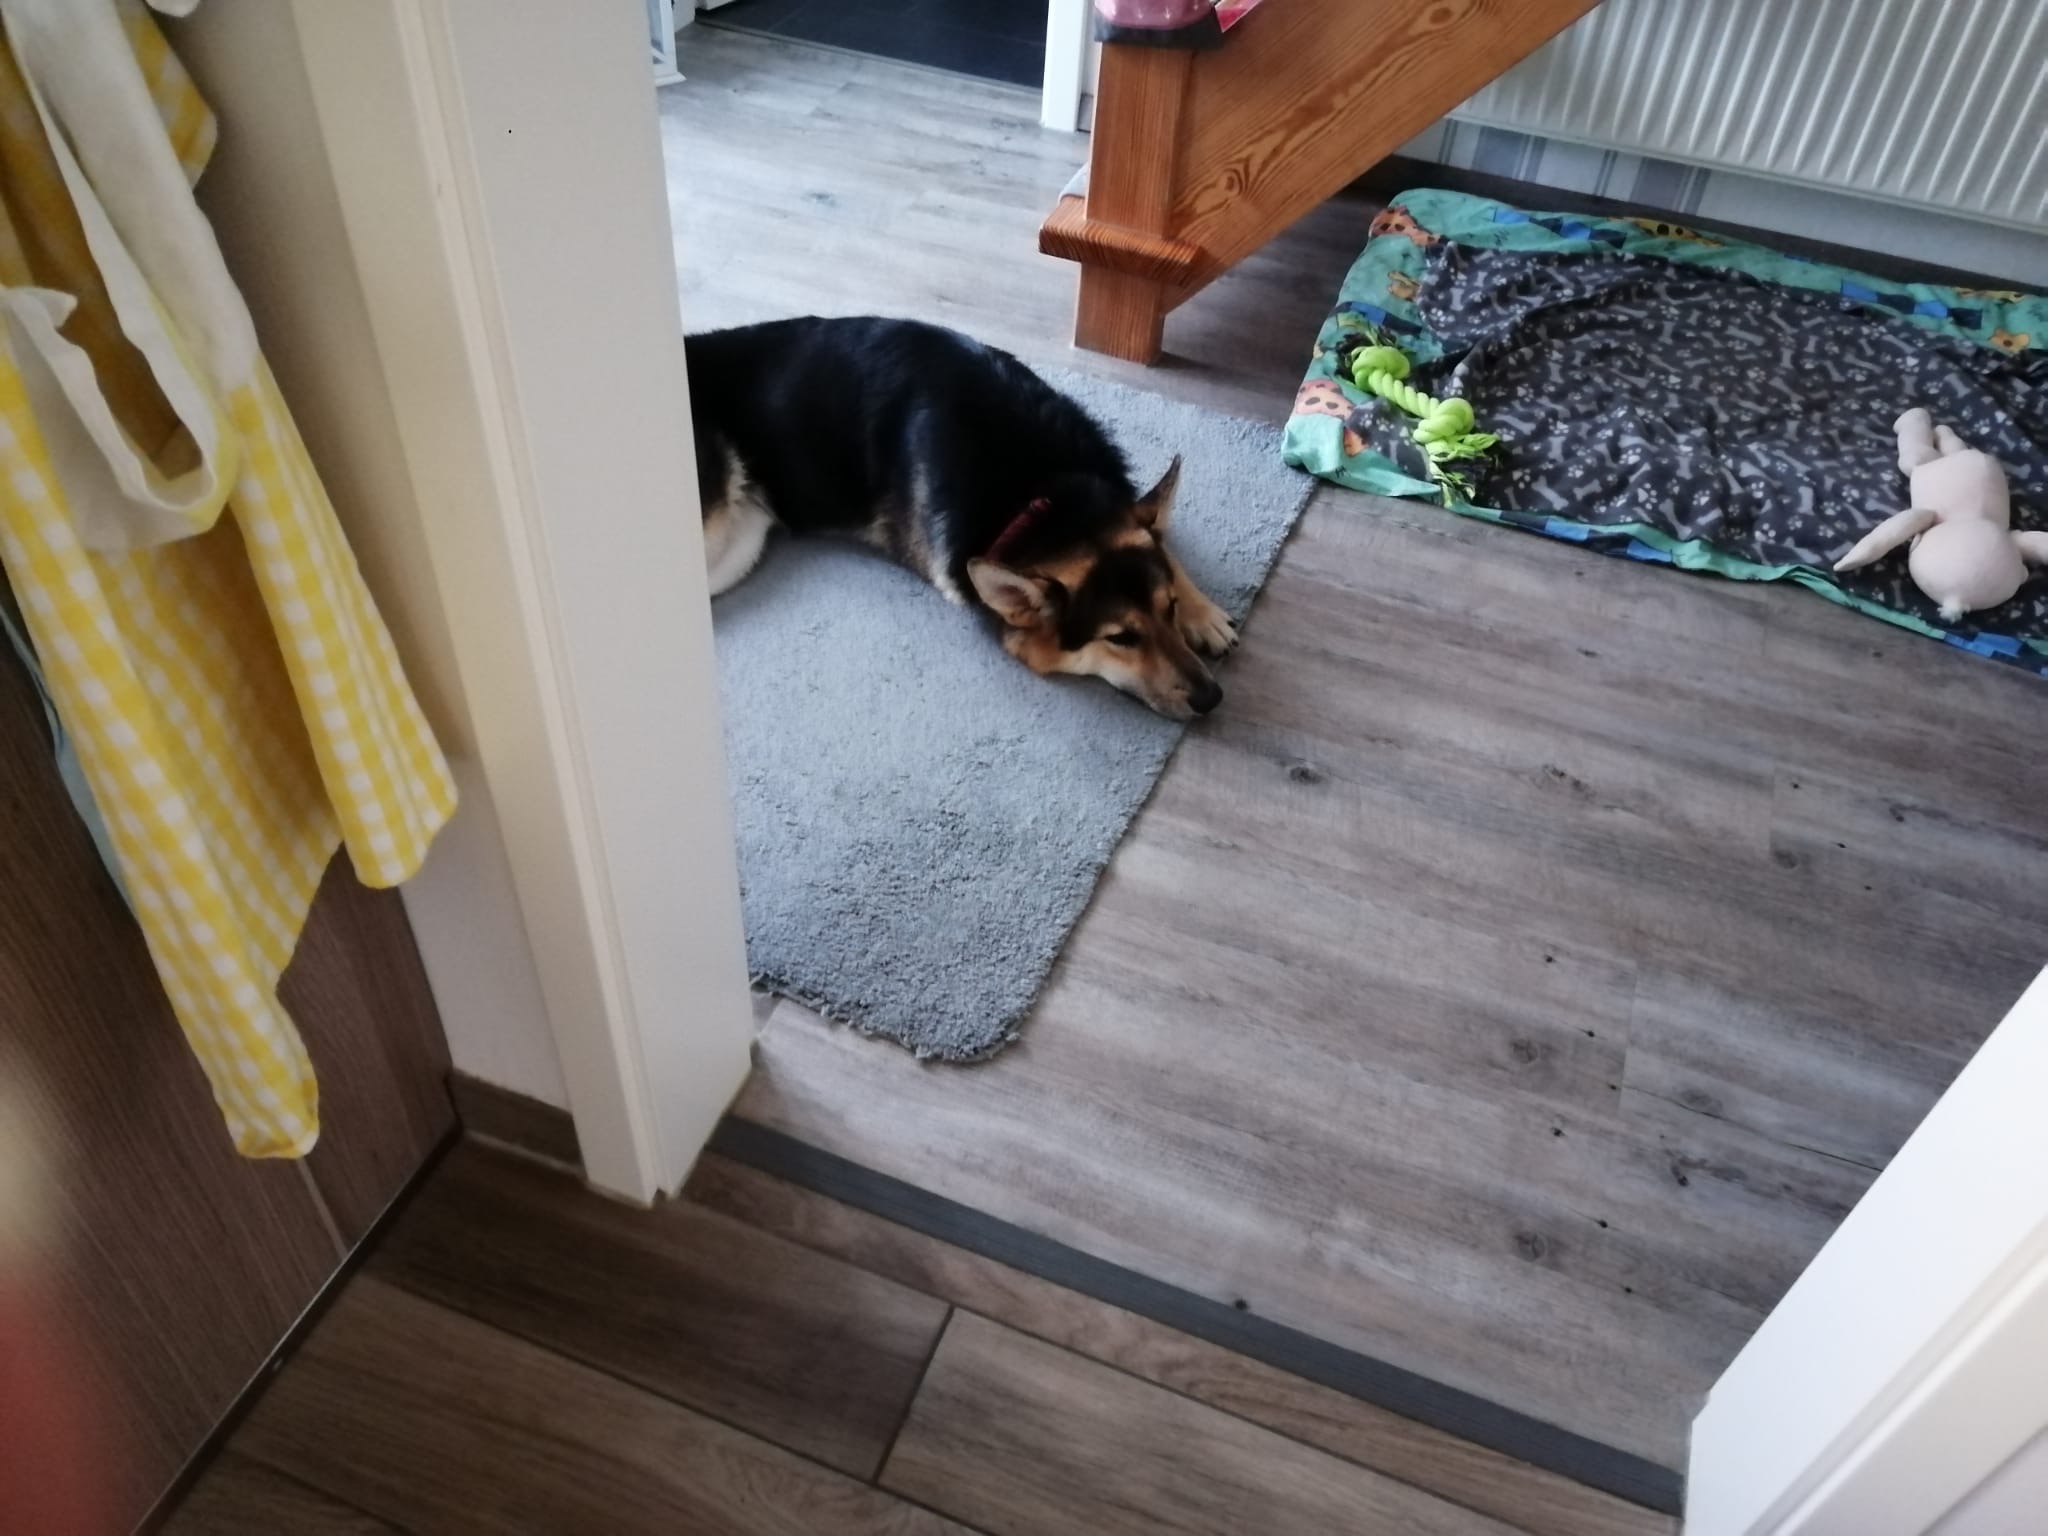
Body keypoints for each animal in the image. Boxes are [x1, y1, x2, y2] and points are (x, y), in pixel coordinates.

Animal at [685, 316, 1237, 718]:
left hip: (739, 544)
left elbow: (1163, 545)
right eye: (1120, 639)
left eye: (1168, 609)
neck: (1045, 494)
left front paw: (1202, 612)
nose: (1212, 699)